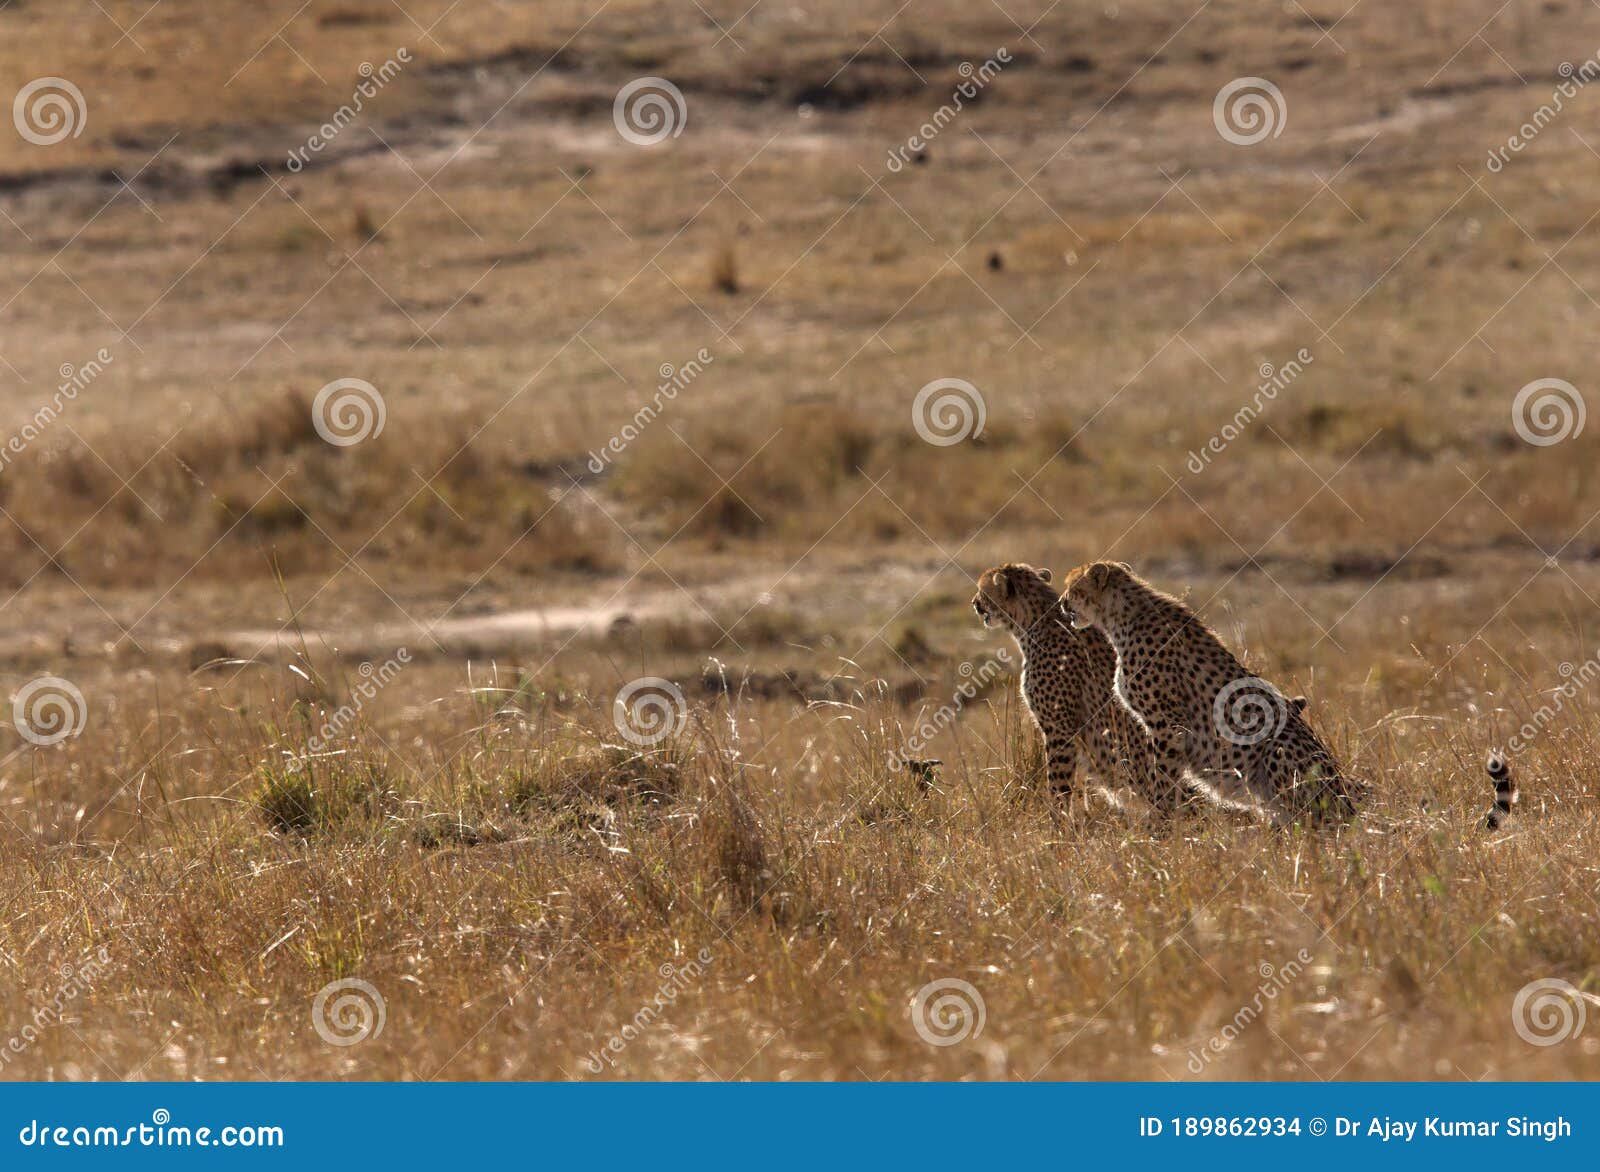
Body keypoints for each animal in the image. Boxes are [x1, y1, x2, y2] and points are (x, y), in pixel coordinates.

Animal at [966, 560, 1184, 813]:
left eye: (982, 591)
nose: (974, 603)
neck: (1033, 623)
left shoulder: (1059, 729)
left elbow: (1058, 785)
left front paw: (1058, 818)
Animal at [1062, 560, 1363, 826]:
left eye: (1072, 588)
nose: (1062, 604)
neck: (1122, 616)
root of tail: (1347, 807)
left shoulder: (1168, 724)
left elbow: (1163, 777)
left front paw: (1162, 821)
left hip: (1278, 747)